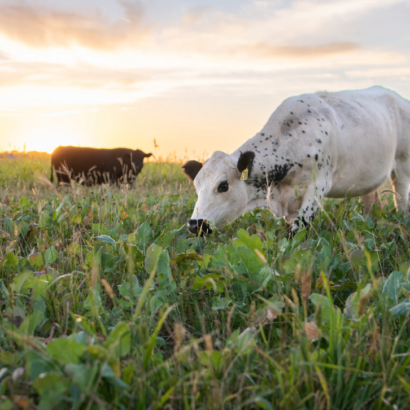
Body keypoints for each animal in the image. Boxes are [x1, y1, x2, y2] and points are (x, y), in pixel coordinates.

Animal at [182, 85, 410, 235]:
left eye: (223, 185)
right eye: (196, 185)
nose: (195, 224)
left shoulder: (318, 186)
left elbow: (298, 230)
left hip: (402, 167)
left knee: (401, 201)